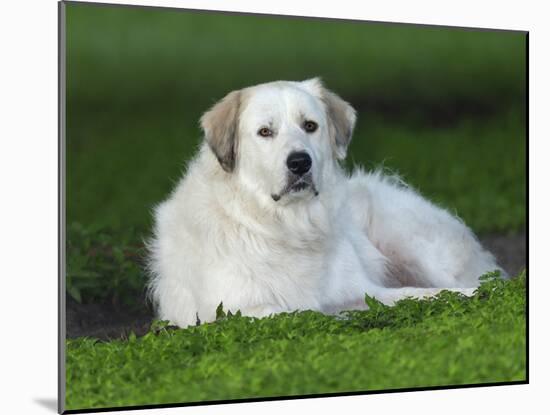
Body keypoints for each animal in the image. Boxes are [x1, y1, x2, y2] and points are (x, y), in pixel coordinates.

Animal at [147, 79, 504, 328]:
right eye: (265, 132)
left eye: (310, 126)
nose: (300, 162)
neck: (287, 227)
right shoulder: (241, 309)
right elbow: (302, 311)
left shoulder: (368, 290)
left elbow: (425, 295)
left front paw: (475, 298)